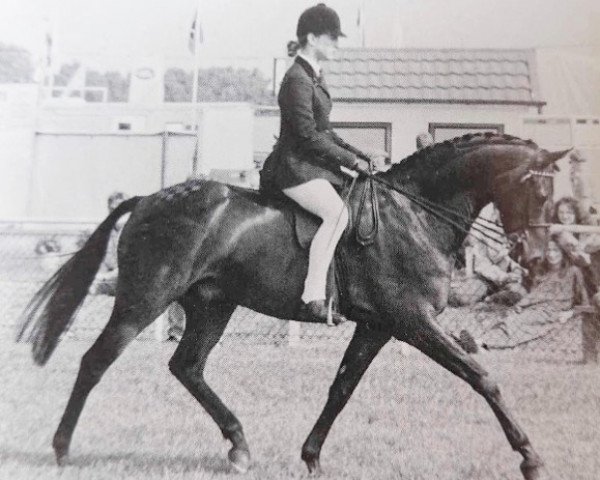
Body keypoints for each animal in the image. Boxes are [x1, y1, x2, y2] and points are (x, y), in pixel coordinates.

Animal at [16, 134, 564, 480]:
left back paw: (239, 447)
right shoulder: (413, 322)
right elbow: (481, 376)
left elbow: (341, 388)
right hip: (144, 299)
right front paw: (531, 459)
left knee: (187, 366)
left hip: (213, 305)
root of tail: (149, 198)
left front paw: (311, 457)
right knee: (96, 361)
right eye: (537, 190)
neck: (414, 215)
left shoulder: (378, 327)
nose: (539, 262)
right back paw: (62, 450)